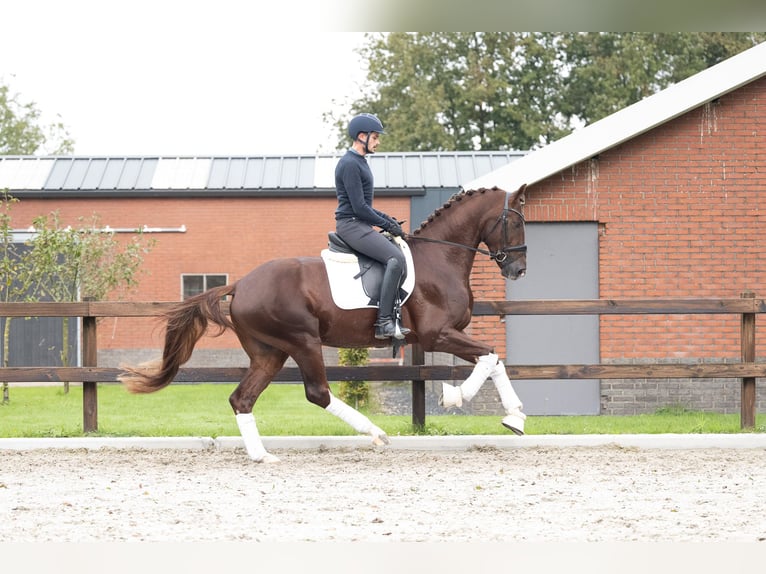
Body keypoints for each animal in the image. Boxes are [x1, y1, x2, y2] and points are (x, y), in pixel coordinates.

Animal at [118, 184, 528, 464]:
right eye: (515, 222)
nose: (519, 269)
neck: (440, 258)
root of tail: (241, 284)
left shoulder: (446, 335)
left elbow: (493, 360)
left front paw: (515, 418)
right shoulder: (435, 335)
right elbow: (490, 357)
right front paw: (455, 396)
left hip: (270, 353)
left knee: (242, 398)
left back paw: (262, 455)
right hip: (302, 341)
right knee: (318, 393)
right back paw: (375, 433)